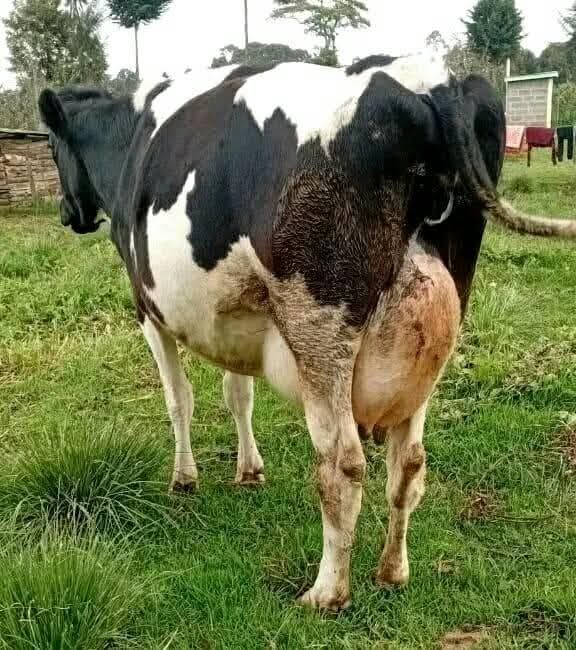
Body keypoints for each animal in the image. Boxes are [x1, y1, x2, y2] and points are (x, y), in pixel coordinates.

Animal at [39, 52, 506, 610]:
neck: (130, 138)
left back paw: (327, 591)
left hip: (320, 331)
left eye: (51, 146)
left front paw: (184, 477)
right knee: (409, 462)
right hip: (432, 348)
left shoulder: (147, 309)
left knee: (343, 463)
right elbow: (238, 393)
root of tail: (427, 81)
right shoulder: (231, 316)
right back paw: (392, 571)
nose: (68, 213)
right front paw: (249, 469)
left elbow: (179, 398)